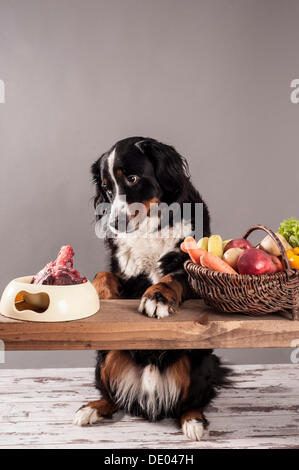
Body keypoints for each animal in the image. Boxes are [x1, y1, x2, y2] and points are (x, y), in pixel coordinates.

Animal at [74, 136, 230, 440]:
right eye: (107, 188)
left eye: (132, 178)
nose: (114, 223)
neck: (150, 228)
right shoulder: (125, 275)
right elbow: (104, 274)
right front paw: (99, 293)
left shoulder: (195, 272)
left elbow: (174, 278)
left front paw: (157, 298)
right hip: (106, 356)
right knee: (113, 396)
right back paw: (92, 408)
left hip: (198, 361)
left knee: (191, 402)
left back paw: (194, 422)